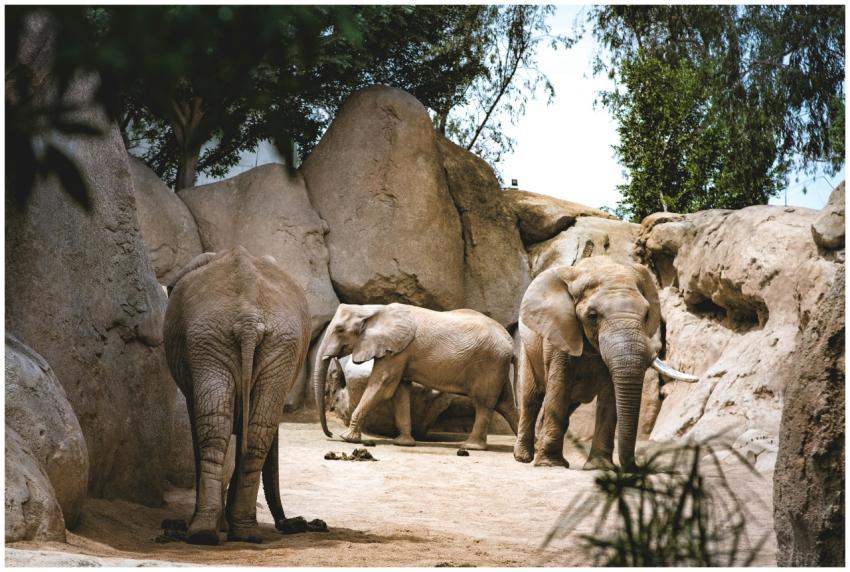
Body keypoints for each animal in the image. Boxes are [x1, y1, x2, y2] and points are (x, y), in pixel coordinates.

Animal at [164, 246, 312, 545]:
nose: (298, 523)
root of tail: (248, 318)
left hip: (217, 340)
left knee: (217, 427)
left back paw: (211, 531)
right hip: (237, 342)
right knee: (254, 431)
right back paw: (235, 532)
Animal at [313, 303, 518, 450]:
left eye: (339, 330)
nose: (330, 434)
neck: (372, 310)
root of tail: (511, 344)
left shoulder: (397, 350)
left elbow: (382, 386)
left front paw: (347, 438)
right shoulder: (398, 351)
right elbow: (400, 390)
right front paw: (403, 443)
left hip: (489, 363)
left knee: (484, 402)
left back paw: (471, 446)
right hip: (497, 365)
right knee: (506, 404)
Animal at [513, 256, 697, 469]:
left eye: (646, 315)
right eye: (592, 316)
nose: (637, 467)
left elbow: (610, 396)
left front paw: (600, 467)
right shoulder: (560, 333)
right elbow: (559, 385)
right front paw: (550, 465)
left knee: (567, 404)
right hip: (528, 348)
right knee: (531, 397)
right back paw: (524, 457)